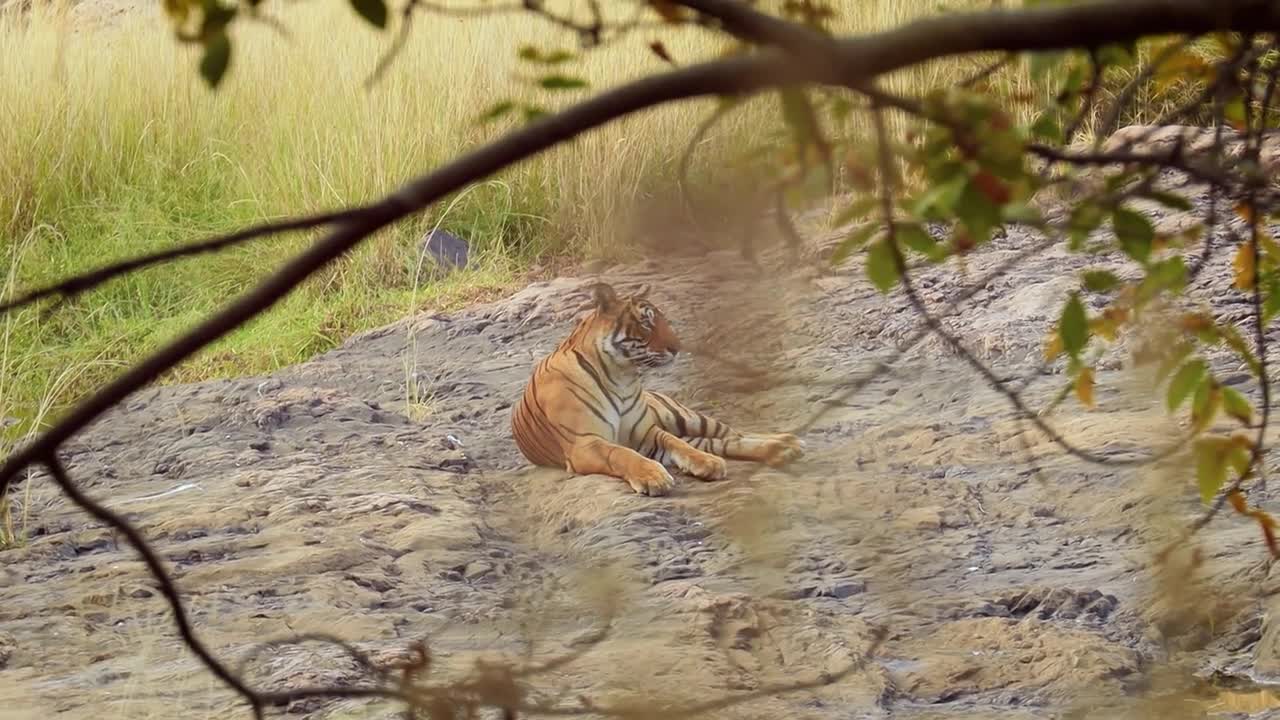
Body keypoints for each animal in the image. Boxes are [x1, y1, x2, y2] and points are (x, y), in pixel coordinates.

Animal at [506, 280, 798, 491]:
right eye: (646, 322)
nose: (678, 348)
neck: (620, 375)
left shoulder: (646, 431)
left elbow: (677, 444)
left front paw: (707, 463)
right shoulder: (585, 443)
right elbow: (621, 454)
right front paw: (653, 477)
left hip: (684, 416)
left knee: (732, 433)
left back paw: (787, 442)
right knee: (724, 441)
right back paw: (782, 449)